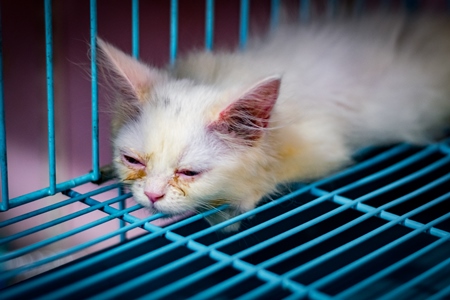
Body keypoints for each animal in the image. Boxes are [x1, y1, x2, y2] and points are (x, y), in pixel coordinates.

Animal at [97, 13, 450, 230]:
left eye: (189, 173)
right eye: (132, 160)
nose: (152, 195)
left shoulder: (322, 144)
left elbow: (273, 177)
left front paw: (231, 210)